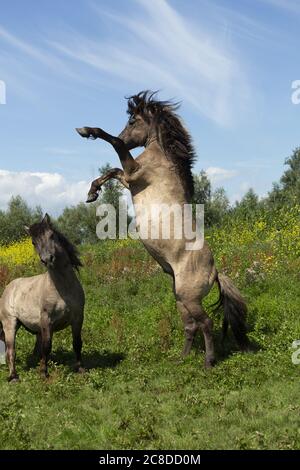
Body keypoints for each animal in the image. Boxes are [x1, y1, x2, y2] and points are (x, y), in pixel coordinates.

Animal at [0, 214, 85, 382]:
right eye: (33, 242)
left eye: (51, 235)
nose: (47, 259)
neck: (64, 289)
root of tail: (9, 287)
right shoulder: (46, 320)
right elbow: (47, 347)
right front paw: (44, 373)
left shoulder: (78, 318)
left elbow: (77, 343)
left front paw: (80, 369)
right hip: (10, 324)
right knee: (11, 351)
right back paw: (13, 377)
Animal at [76, 89, 250, 368]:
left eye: (132, 121)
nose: (128, 134)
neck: (161, 156)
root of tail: (215, 273)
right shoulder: (129, 178)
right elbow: (112, 169)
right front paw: (92, 192)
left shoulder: (134, 172)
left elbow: (115, 144)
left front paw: (87, 131)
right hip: (180, 298)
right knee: (191, 325)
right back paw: (181, 359)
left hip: (188, 297)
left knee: (206, 323)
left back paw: (208, 362)